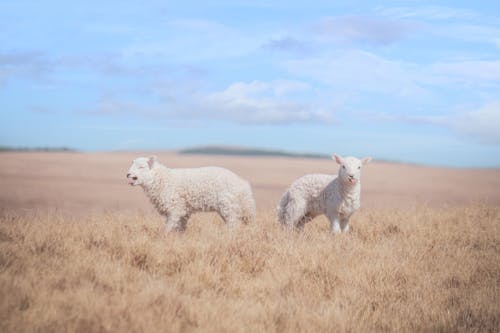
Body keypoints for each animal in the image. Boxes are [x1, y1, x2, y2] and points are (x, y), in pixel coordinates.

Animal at [127, 156, 256, 231]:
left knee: (233, 223)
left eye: (141, 167)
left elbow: (168, 227)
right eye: (132, 165)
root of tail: (243, 184)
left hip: (228, 205)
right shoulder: (184, 210)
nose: (128, 174)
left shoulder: (175, 207)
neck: (161, 179)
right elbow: (181, 227)